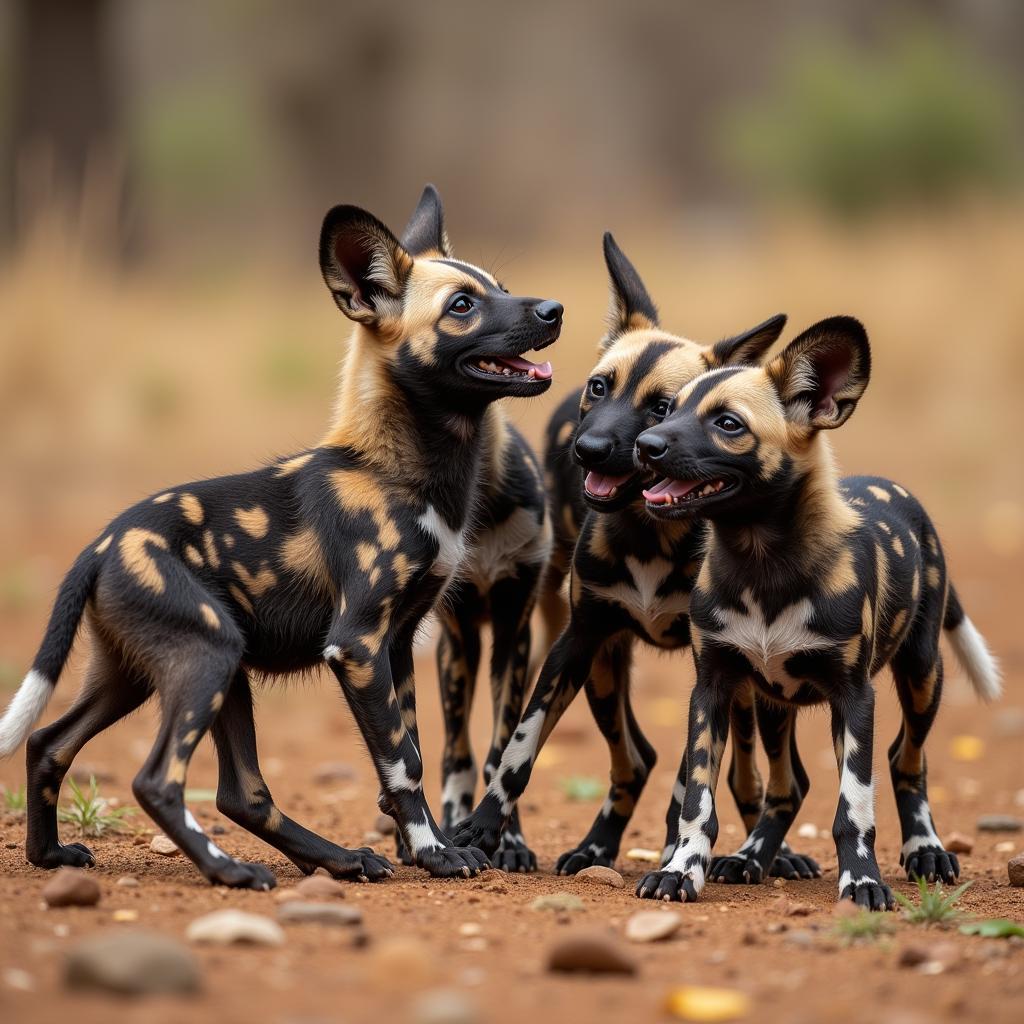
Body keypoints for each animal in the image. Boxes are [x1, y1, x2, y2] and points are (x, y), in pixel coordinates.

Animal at [0, 184, 561, 888]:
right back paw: (232, 871)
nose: (554, 309)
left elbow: (407, 753)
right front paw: (435, 854)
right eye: (462, 305)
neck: (396, 471)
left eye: (501, 288)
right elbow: (404, 763)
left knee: (96, 756)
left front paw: (418, 847)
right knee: (158, 780)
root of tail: (100, 545)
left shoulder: (398, 644)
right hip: (207, 657)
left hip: (149, 673)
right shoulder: (357, 645)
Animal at [452, 234, 819, 880]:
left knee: (744, 773)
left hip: (740, 688)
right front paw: (482, 829)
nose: (588, 449)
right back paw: (597, 848)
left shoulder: (711, 668)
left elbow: (694, 782)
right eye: (601, 387)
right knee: (634, 759)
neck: (651, 536)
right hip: (601, 666)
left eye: (663, 408)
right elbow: (519, 749)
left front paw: (680, 857)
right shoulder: (576, 645)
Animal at [630, 315, 999, 909]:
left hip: (923, 676)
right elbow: (697, 804)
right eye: (669, 410)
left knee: (907, 761)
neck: (761, 563)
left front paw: (863, 881)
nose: (644, 445)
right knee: (790, 785)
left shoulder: (854, 698)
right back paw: (751, 858)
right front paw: (682, 870)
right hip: (771, 703)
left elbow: (854, 807)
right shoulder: (711, 690)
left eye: (728, 423)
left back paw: (926, 849)